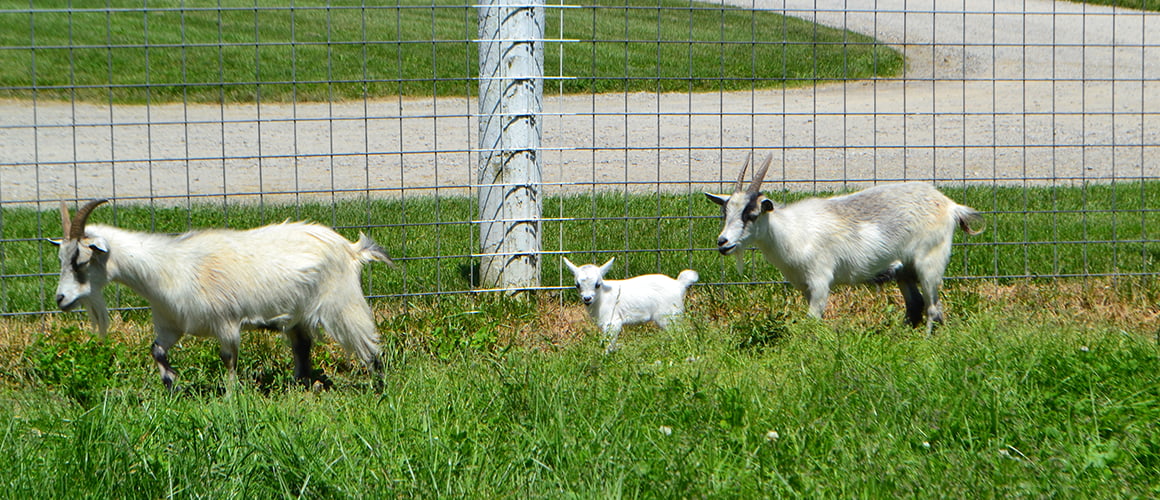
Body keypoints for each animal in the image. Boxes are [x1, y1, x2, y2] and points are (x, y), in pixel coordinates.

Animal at [52, 199, 394, 390]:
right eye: (61, 258)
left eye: (80, 260)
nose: (61, 300)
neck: (168, 268)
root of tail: (350, 248)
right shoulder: (171, 324)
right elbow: (156, 350)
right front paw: (171, 382)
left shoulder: (226, 322)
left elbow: (228, 359)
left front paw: (230, 395)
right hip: (298, 314)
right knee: (302, 346)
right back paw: (300, 384)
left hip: (341, 303)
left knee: (368, 345)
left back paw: (377, 388)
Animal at [563, 257, 699, 352]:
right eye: (577, 285)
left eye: (597, 284)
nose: (587, 298)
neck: (602, 297)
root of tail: (679, 284)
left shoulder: (612, 321)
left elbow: (608, 342)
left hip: (669, 315)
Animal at [705, 154, 985, 332]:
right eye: (725, 212)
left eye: (751, 215)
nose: (723, 242)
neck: (791, 231)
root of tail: (950, 206)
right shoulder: (805, 286)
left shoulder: (820, 280)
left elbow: (812, 320)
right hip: (905, 270)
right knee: (915, 305)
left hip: (929, 263)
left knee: (934, 308)